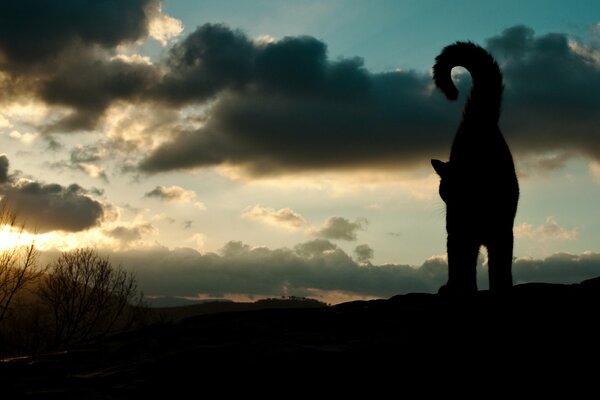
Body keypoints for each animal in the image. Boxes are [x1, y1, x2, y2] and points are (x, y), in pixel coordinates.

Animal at [432, 43, 520, 294]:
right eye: (446, 192)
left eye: (458, 189)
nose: (454, 204)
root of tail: (478, 121)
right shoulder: (459, 234)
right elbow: (462, 265)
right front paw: (461, 287)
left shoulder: (501, 233)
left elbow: (499, 266)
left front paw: (501, 287)